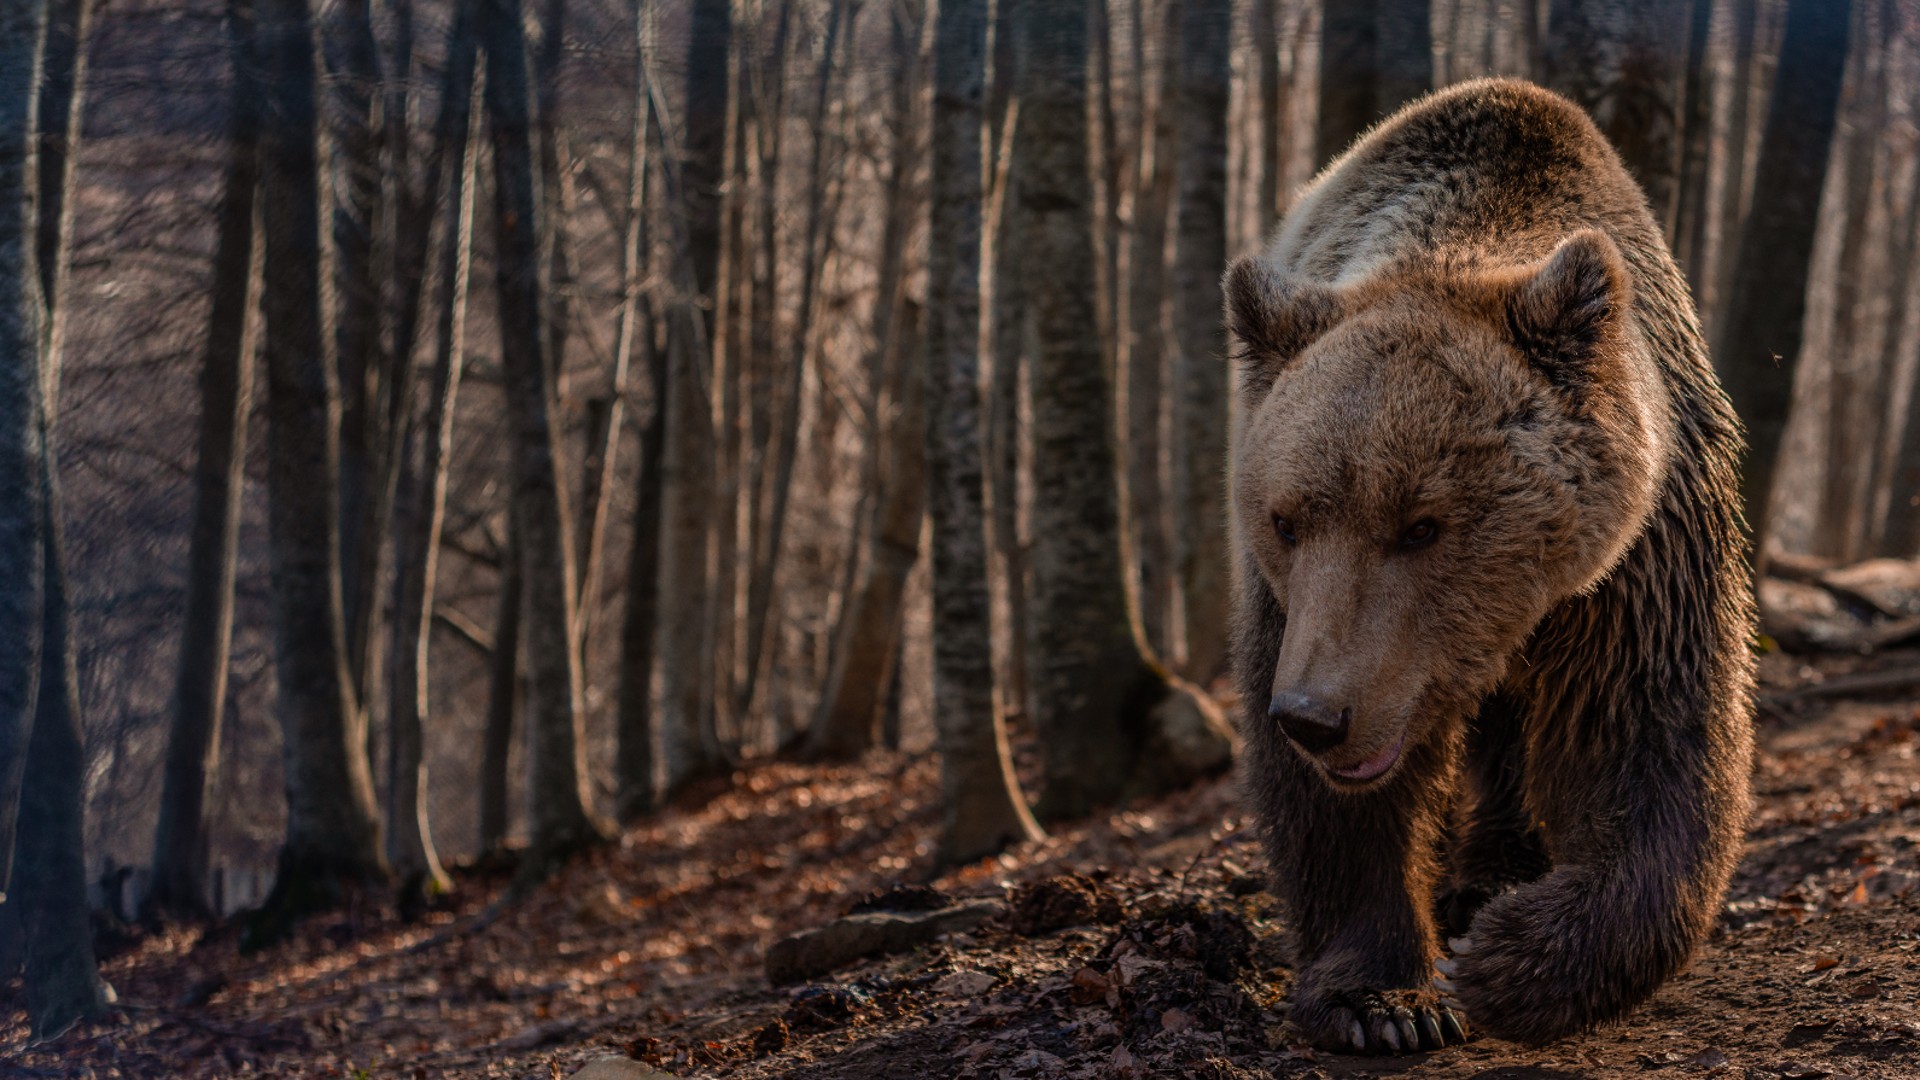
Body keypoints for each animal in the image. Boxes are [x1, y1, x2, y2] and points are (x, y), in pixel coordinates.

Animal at [1228, 77, 1758, 1053]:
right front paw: (1384, 1002)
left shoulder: (1639, 566)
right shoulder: (1296, 611)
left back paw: (1493, 878)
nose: (1316, 716)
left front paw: (1507, 958)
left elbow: (1654, 742)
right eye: (1287, 520)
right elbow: (1339, 810)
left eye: (1421, 525)